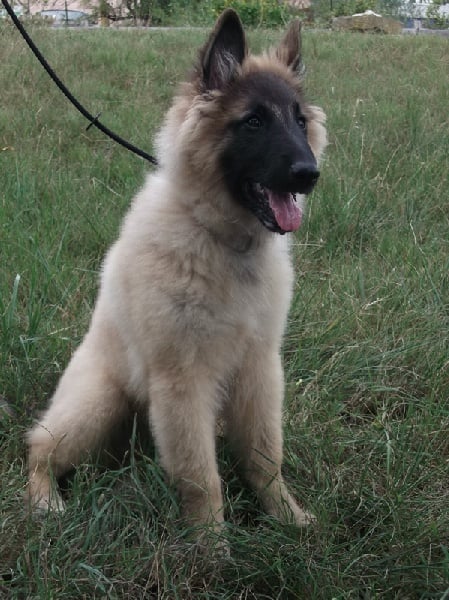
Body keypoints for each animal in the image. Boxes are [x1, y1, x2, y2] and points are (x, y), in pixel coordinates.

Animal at [26, 8, 326, 544]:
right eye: (253, 121)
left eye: (299, 120)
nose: (309, 173)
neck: (221, 240)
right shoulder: (183, 380)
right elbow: (201, 476)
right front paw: (211, 547)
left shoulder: (259, 369)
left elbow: (265, 456)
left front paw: (287, 518)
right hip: (99, 405)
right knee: (37, 446)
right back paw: (45, 502)